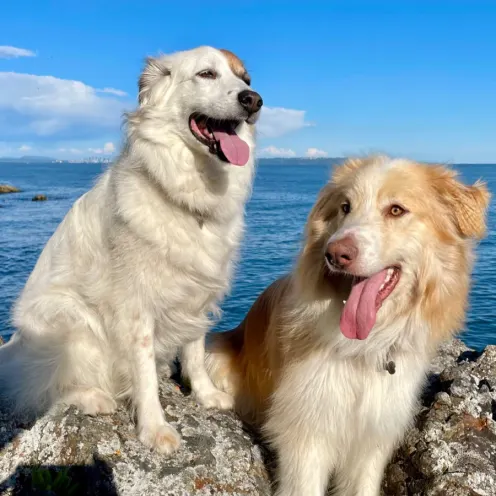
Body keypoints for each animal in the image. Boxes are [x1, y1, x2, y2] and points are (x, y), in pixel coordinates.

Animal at [0, 45, 264, 454]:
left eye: (245, 79)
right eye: (206, 74)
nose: (254, 100)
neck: (186, 190)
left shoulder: (197, 294)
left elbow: (194, 352)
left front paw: (205, 395)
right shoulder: (135, 307)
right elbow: (143, 374)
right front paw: (155, 429)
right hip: (69, 320)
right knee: (41, 389)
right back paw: (93, 397)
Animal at [207, 154, 490, 492]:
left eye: (396, 210)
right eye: (345, 207)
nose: (335, 254)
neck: (367, 346)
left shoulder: (373, 438)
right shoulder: (305, 433)